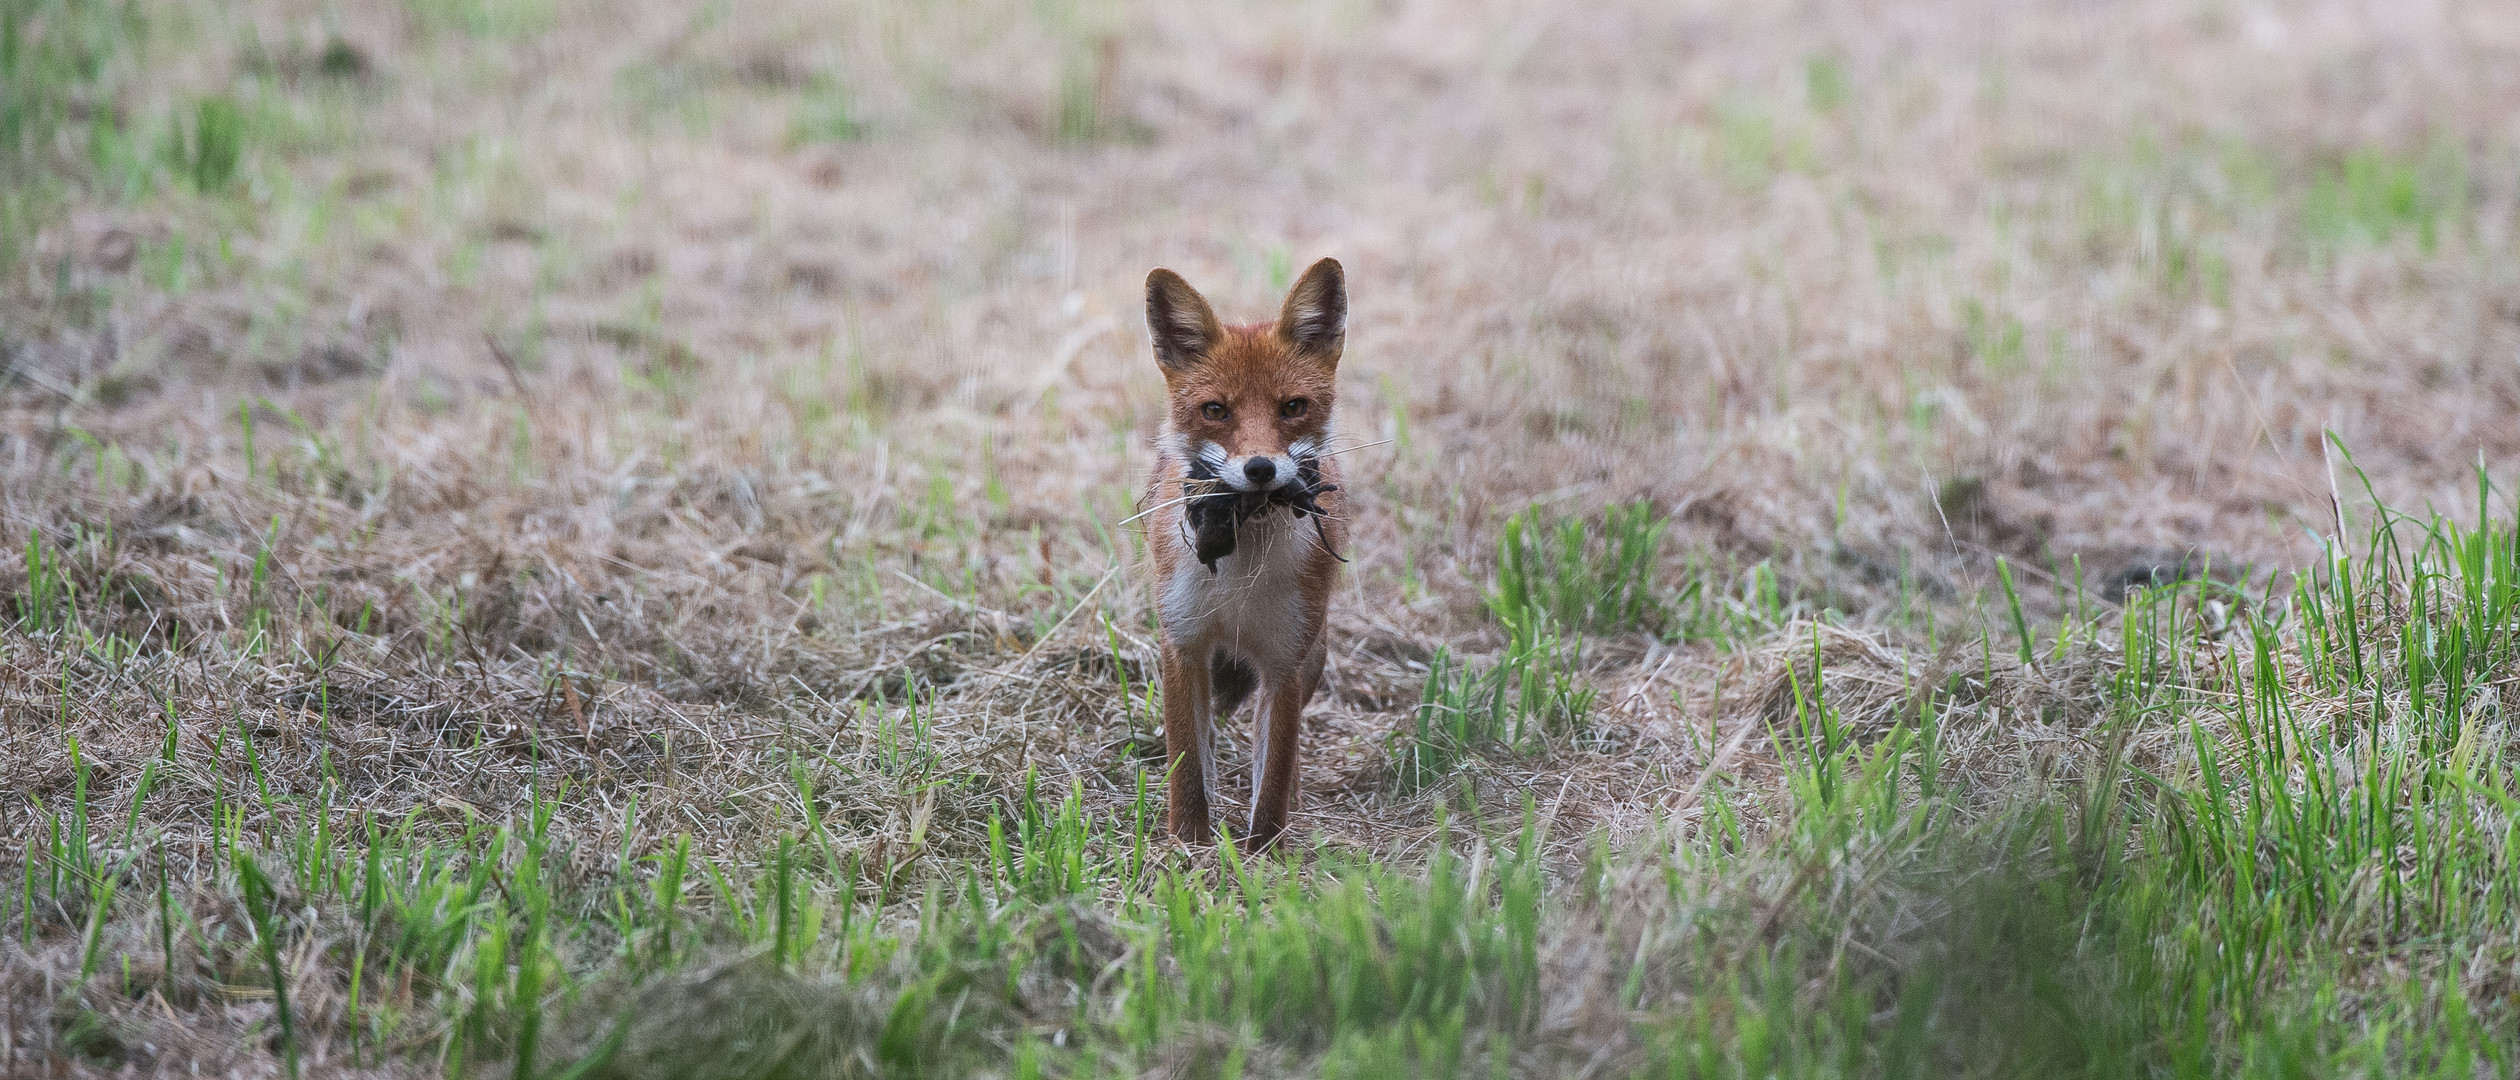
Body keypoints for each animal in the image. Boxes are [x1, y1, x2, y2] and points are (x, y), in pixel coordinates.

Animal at [1139, 256, 1350, 845]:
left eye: (1293, 407)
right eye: (1216, 410)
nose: (1260, 469)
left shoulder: (1284, 660)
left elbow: (1272, 777)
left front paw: (1263, 855)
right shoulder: (1183, 644)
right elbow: (1189, 768)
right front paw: (1188, 846)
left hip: (1313, 654)